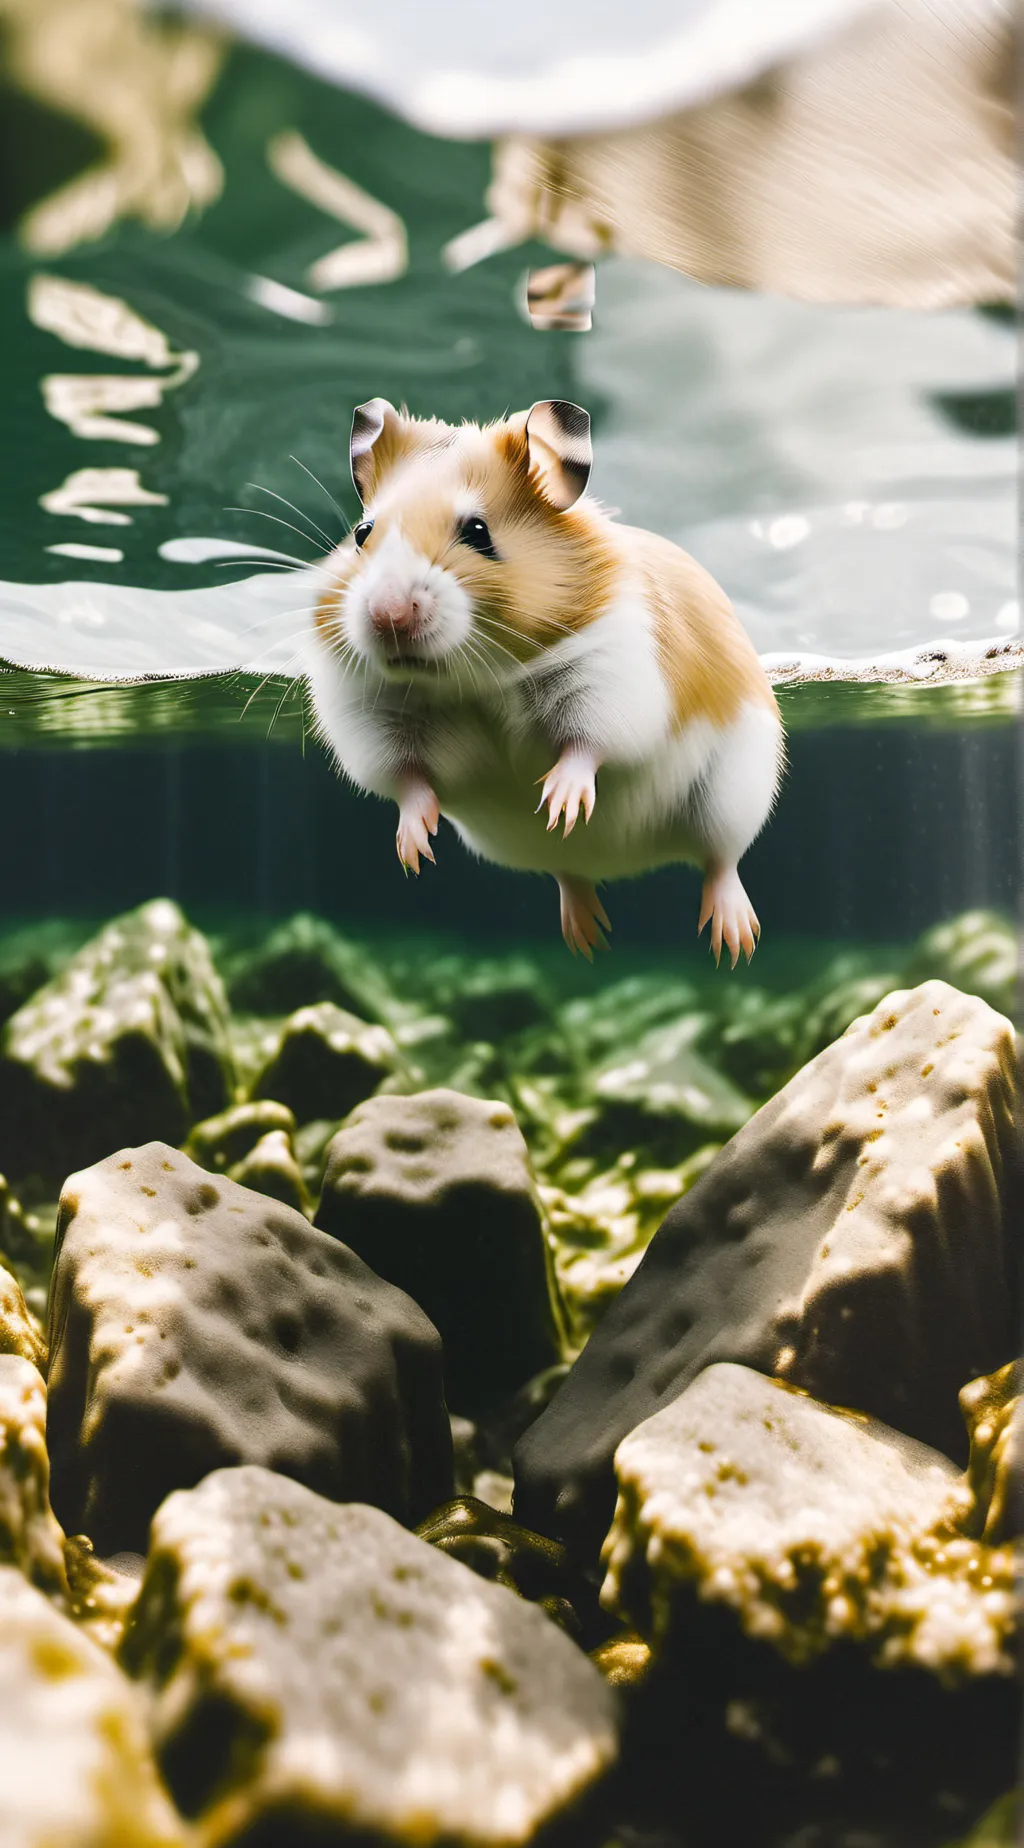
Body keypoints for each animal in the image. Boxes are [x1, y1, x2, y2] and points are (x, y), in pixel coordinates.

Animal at [305, 398, 784, 966]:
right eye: (362, 534)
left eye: (478, 532)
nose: (387, 615)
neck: (480, 676)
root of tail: (627, 862)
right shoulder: (371, 713)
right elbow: (407, 779)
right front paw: (415, 851)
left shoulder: (612, 678)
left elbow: (587, 746)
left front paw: (559, 801)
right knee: (568, 874)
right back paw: (588, 939)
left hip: (733, 793)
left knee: (721, 862)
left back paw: (735, 943)